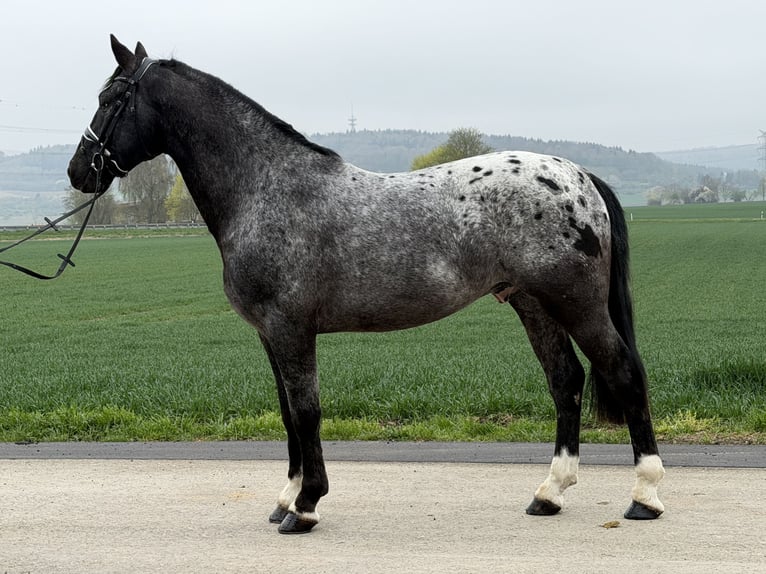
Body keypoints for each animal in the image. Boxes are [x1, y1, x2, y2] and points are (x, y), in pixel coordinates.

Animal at [68, 36, 665, 534]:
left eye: (111, 98)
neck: (267, 188)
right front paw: (286, 498)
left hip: (576, 303)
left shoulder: (290, 329)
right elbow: (287, 412)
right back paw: (549, 493)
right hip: (533, 303)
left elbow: (306, 410)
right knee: (565, 382)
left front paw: (306, 506)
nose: (79, 170)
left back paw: (645, 496)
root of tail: (579, 176)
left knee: (623, 372)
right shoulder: (269, 334)